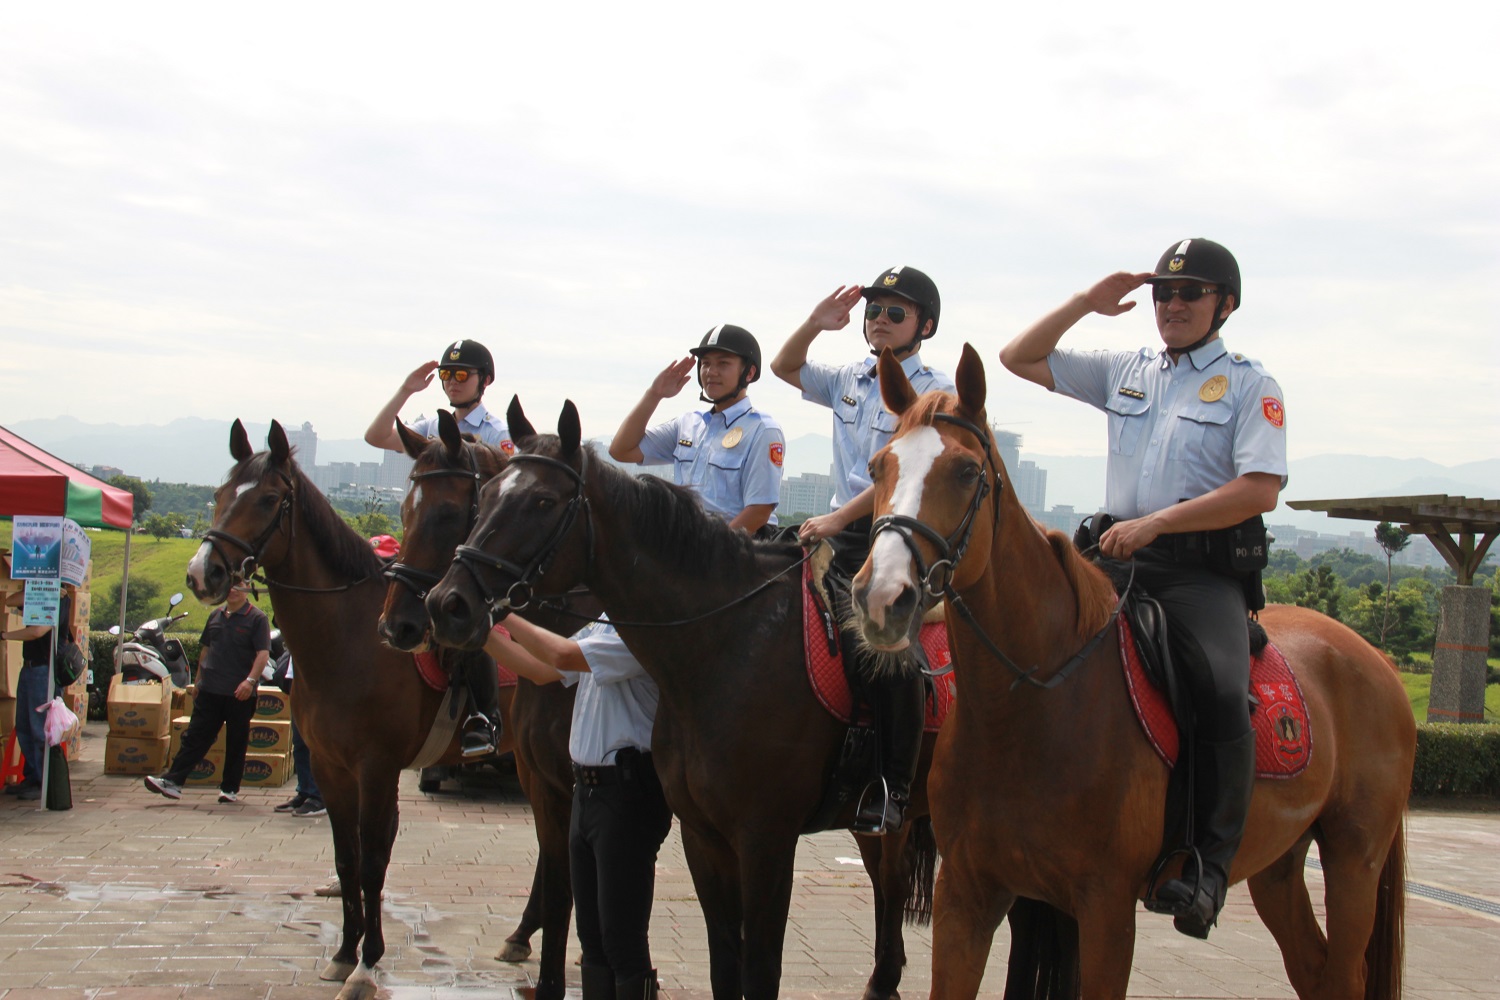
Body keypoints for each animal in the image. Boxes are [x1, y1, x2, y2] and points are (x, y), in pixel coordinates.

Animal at [186, 422, 528, 1000]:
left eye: (268, 499)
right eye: (218, 495)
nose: (202, 573)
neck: (347, 640)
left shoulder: (377, 767)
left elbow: (372, 862)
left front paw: (368, 965)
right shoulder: (331, 766)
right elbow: (346, 859)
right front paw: (345, 952)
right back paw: (522, 937)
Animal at [852, 346, 1410, 1000]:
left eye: (966, 471)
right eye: (878, 465)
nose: (882, 596)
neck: (1029, 707)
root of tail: (1376, 661)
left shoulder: (1106, 910)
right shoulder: (966, 893)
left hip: (1354, 860)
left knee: (1343, 966)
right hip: (1279, 864)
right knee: (1313, 968)